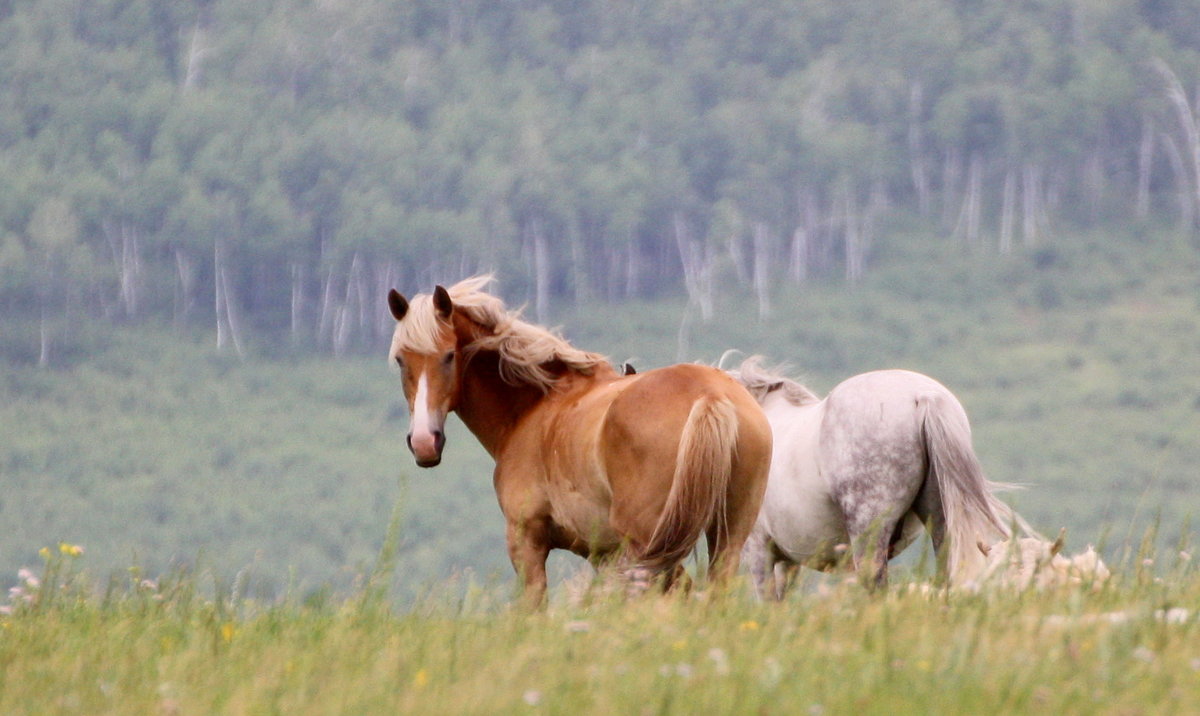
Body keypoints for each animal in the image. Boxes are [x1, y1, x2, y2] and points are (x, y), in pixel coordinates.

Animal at [388, 274, 772, 602]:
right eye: (401, 361)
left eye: (449, 356)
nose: (424, 442)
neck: (535, 407)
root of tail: (710, 396)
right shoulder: (603, 554)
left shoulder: (526, 540)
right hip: (725, 537)